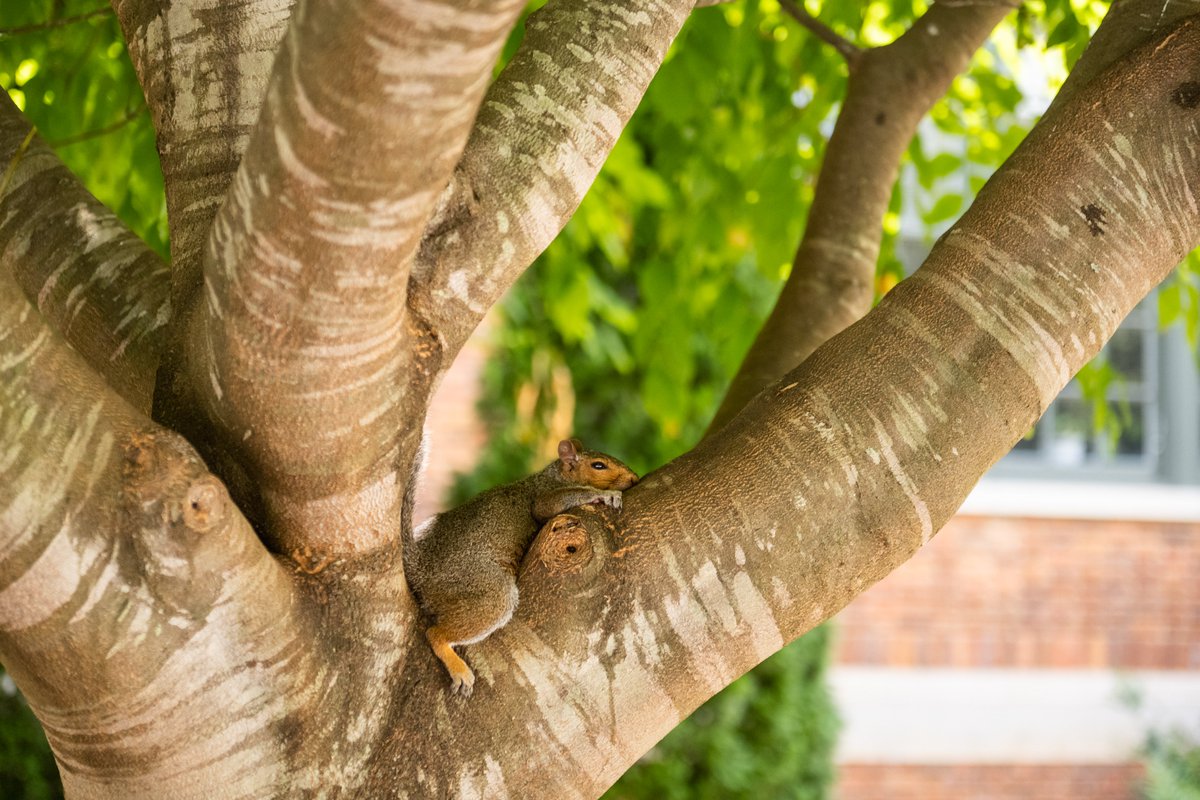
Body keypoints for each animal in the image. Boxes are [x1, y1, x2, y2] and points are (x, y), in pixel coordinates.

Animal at [404, 438, 638, 696]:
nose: (634, 478)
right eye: (598, 465)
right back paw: (458, 668)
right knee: (435, 633)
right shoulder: (545, 495)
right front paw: (605, 495)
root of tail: (421, 570)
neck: (554, 475)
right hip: (485, 590)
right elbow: (552, 504)